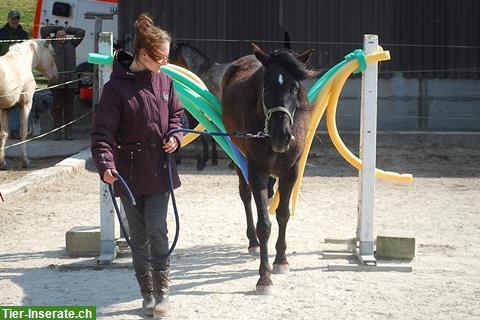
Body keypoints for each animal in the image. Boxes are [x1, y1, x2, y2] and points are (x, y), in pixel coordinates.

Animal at [0, 39, 57, 170]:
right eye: (53, 55)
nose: (55, 76)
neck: (21, 60)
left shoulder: (5, 109)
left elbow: (4, 134)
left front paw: (3, 163)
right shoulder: (25, 105)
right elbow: (23, 132)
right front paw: (25, 161)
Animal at [222, 43, 322, 294]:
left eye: (294, 87)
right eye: (265, 86)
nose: (281, 136)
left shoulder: (291, 171)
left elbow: (283, 214)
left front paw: (281, 261)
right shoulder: (257, 169)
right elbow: (264, 224)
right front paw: (264, 277)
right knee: (246, 196)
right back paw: (253, 242)